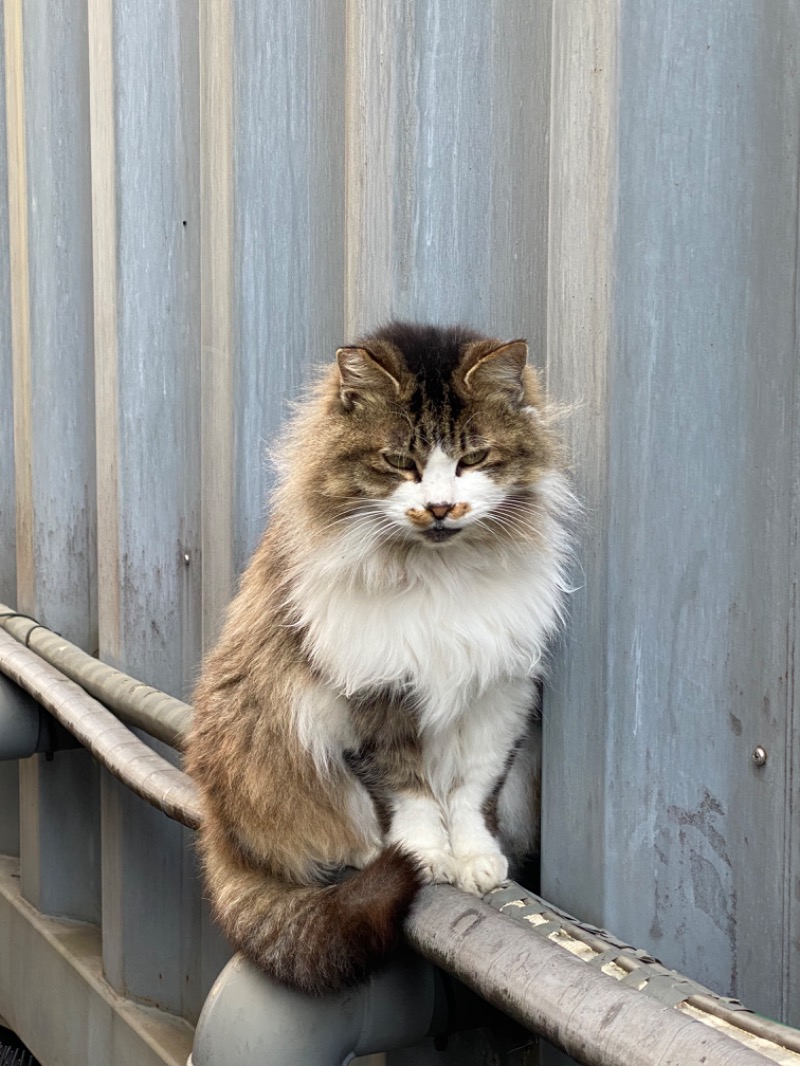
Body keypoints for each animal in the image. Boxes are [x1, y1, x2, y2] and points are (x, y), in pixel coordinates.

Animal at [187, 319, 576, 993]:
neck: (440, 575)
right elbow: (408, 792)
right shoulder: (374, 696)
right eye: (400, 462)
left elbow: (472, 792)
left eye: (474, 459)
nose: (441, 508)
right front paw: (423, 856)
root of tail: (219, 823)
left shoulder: (498, 699)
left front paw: (475, 857)